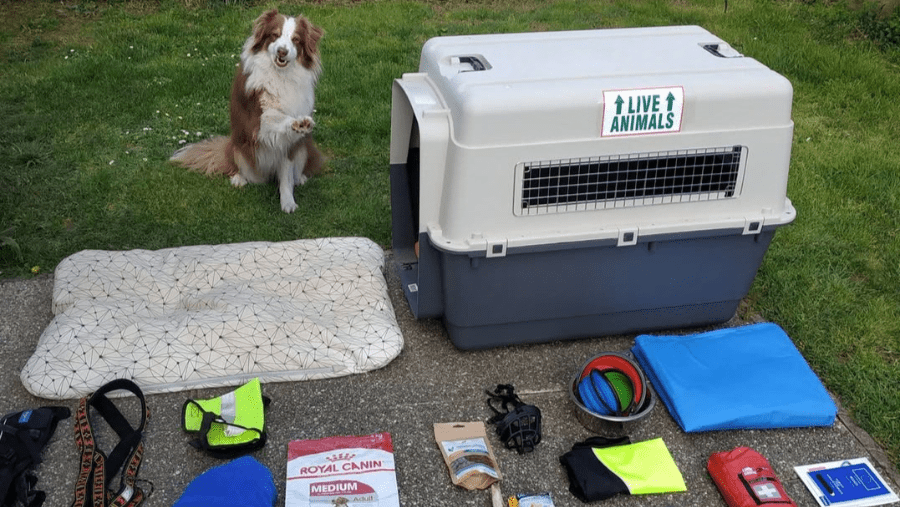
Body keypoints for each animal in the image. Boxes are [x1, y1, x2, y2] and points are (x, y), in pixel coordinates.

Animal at [171, 9, 326, 212]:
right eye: (274, 35)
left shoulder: (289, 146)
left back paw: (299, 177)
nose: (282, 51)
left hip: (304, 147)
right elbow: (274, 117)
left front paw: (288, 202)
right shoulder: (256, 120)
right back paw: (238, 178)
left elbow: (286, 176)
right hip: (239, 147)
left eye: (296, 40)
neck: (280, 76)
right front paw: (296, 122)